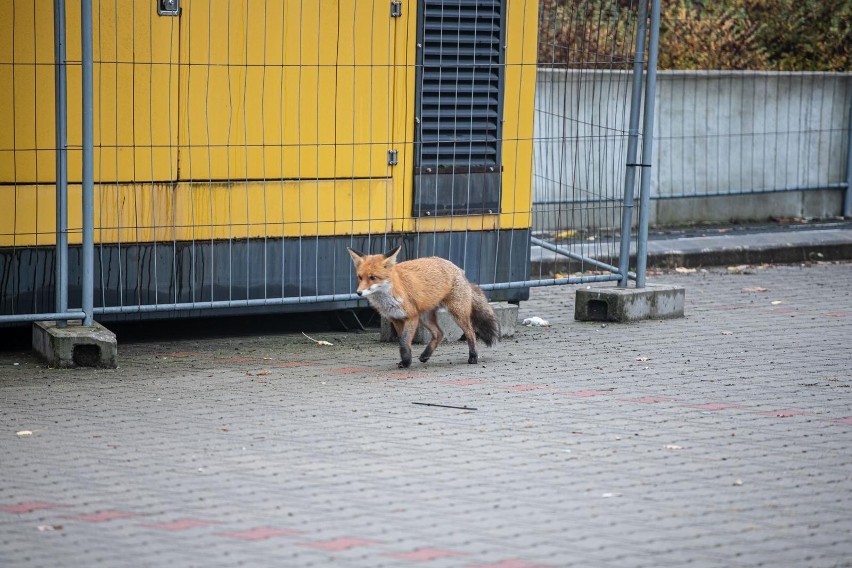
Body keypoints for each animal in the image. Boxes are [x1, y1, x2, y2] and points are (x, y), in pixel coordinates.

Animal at [346, 244, 500, 368]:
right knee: (439, 333)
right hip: (425, 317)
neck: (389, 296)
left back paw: (473, 357)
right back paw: (426, 355)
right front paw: (406, 360)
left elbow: (404, 342)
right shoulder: (395, 318)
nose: (358, 292)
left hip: (457, 314)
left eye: (373, 277)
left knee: (471, 333)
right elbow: (403, 342)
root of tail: (458, 268)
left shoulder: (411, 317)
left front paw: (406, 361)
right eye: (360, 277)